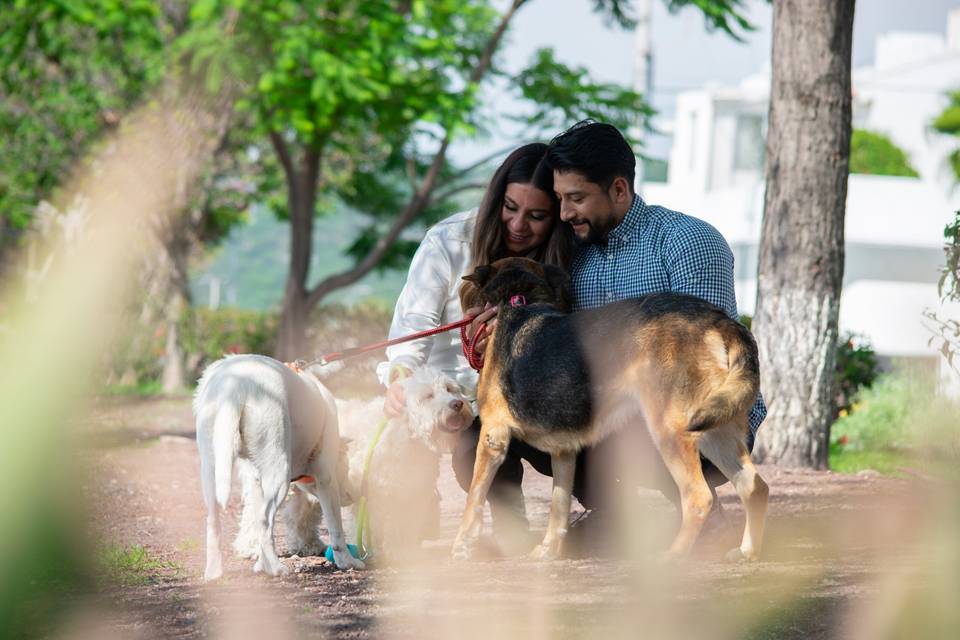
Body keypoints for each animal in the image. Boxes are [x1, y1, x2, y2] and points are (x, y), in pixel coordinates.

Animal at [194, 356, 364, 580]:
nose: (350, 497)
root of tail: (234, 385)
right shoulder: (326, 478)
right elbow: (336, 528)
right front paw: (347, 562)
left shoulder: (255, 479)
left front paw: (260, 564)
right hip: (279, 470)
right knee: (263, 520)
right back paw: (275, 568)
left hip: (211, 467)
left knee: (214, 521)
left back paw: (214, 572)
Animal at [282, 364, 476, 560]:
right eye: (428, 395)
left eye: (450, 389)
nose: (457, 404)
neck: (406, 431)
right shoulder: (375, 498)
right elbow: (379, 529)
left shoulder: (410, 493)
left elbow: (405, 527)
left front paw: (407, 552)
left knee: (300, 515)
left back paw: (308, 545)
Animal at [452, 258, 772, 564]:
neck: (520, 301)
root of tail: (719, 319)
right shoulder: (563, 453)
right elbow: (558, 506)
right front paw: (548, 550)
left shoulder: (493, 437)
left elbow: (473, 502)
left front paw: (461, 547)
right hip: (716, 433)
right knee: (755, 488)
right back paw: (747, 552)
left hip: (670, 431)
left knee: (698, 498)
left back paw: (673, 556)